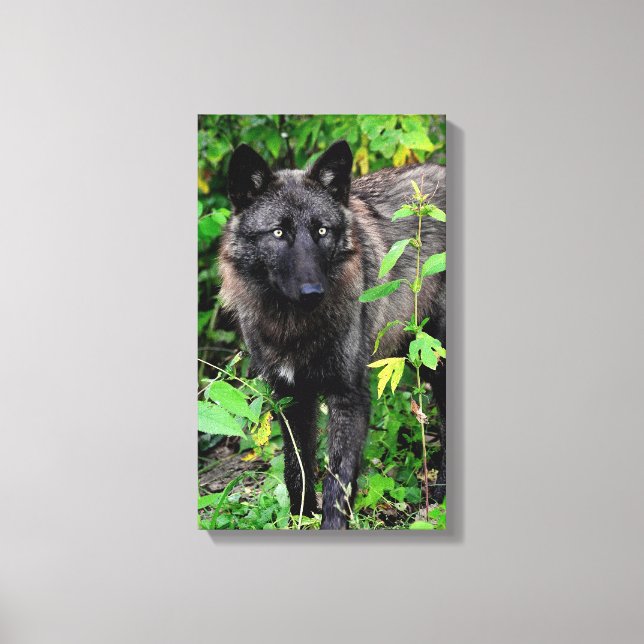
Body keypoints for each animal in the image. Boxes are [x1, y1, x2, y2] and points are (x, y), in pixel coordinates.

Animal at [219, 140, 446, 529]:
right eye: (278, 233)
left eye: (322, 231)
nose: (313, 292)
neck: (296, 328)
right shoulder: (291, 397)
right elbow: (297, 471)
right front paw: (300, 518)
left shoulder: (349, 395)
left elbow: (337, 483)